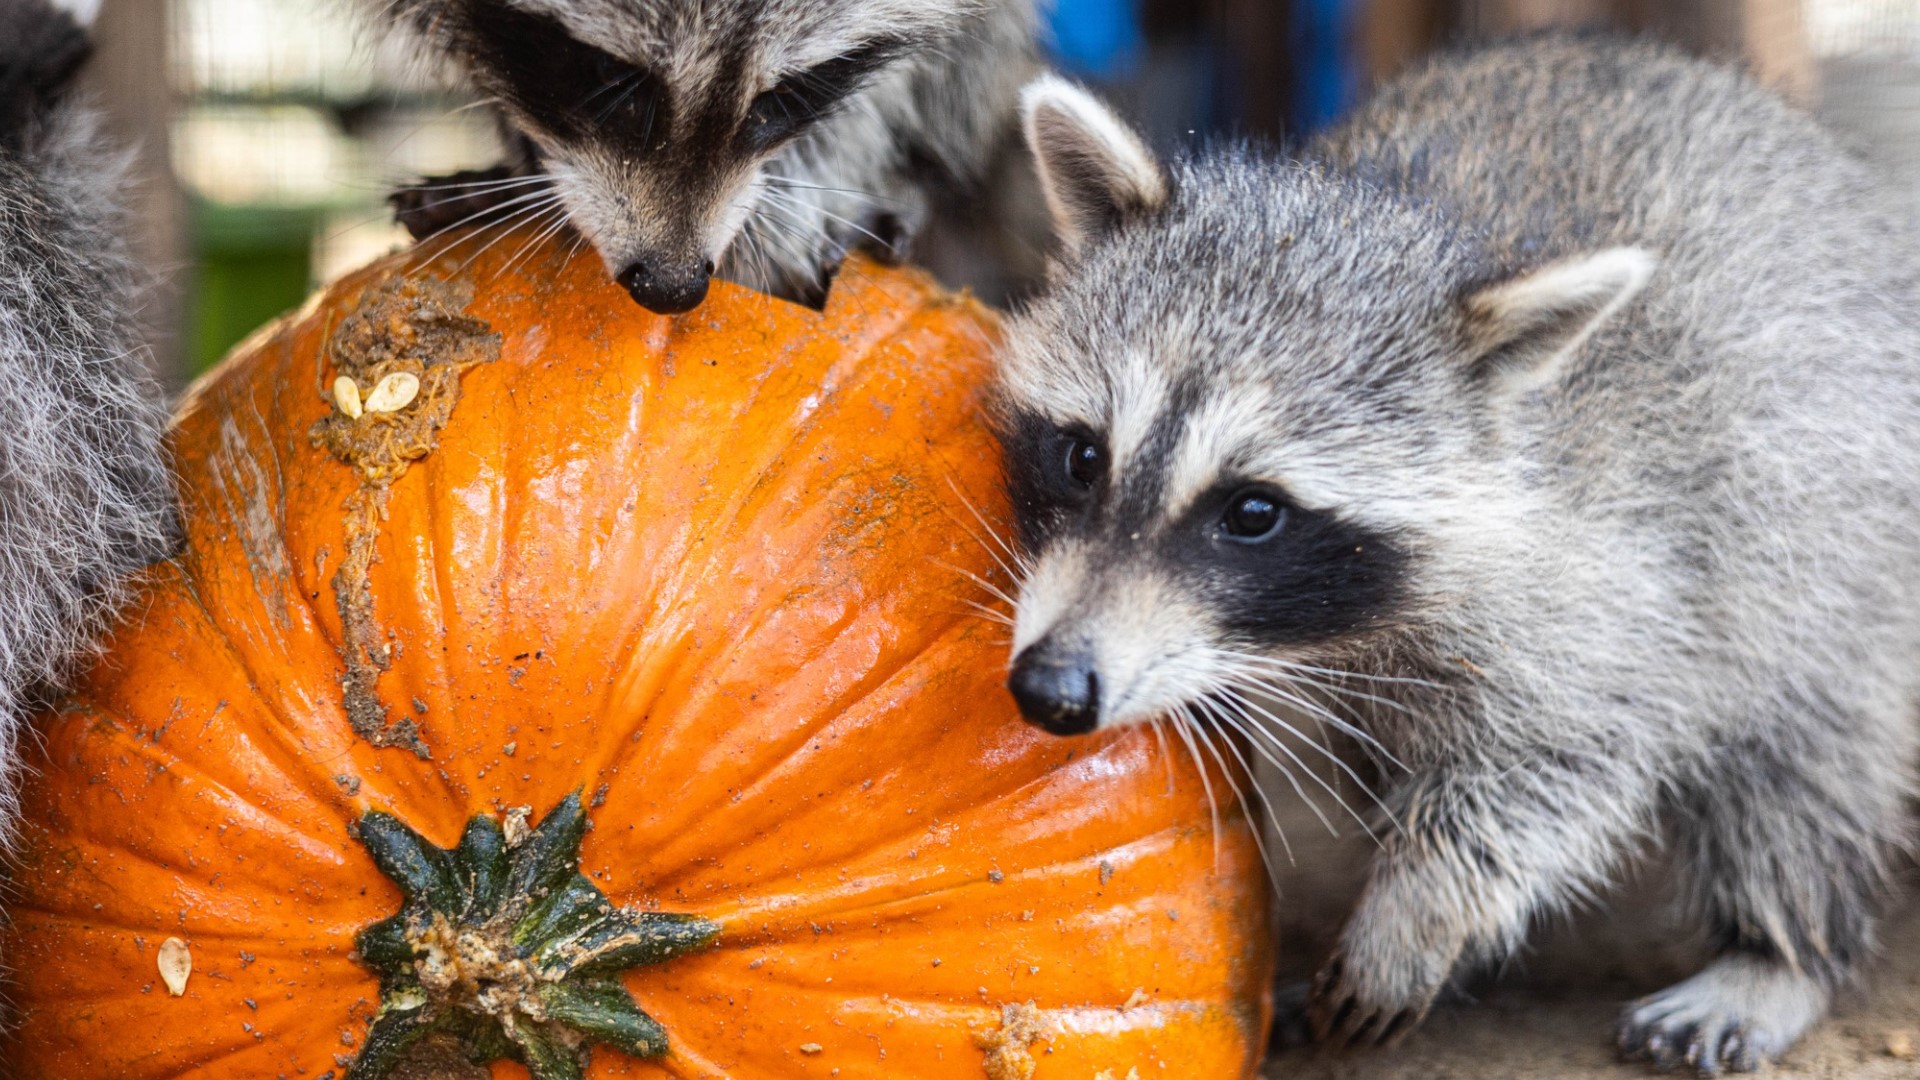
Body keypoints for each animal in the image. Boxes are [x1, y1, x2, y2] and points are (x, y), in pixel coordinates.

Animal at [990, 37, 1920, 1068]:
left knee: (1802, 761)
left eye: (1253, 512)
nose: (1053, 689)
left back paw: (1780, 950)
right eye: (1082, 457)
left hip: (1831, 541)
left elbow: (1564, 761)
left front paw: (1423, 910)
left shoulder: (1621, 570)